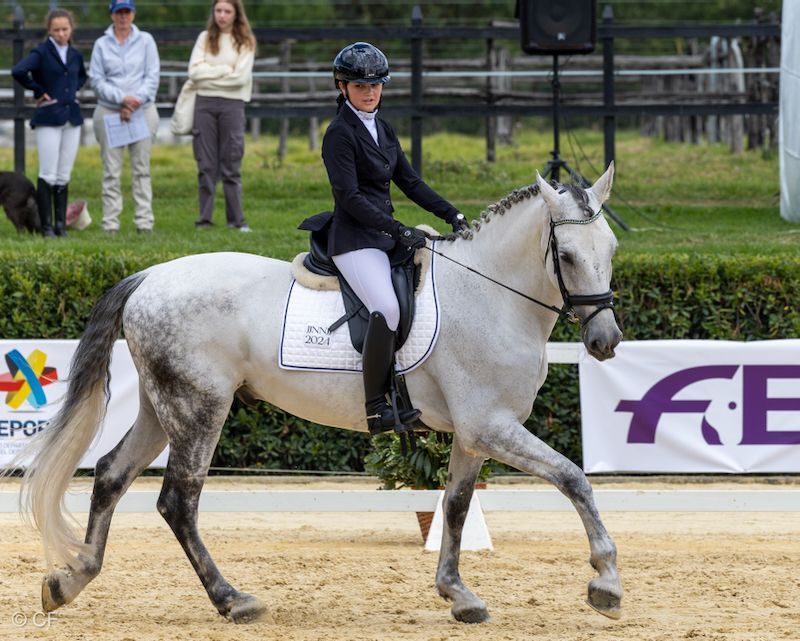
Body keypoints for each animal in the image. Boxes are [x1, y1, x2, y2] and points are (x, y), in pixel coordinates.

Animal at [14, 164, 623, 625]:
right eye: (567, 256)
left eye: (612, 248)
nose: (606, 341)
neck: (490, 294)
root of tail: (148, 276)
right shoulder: (491, 426)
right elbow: (573, 477)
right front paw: (607, 582)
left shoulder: (474, 433)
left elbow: (454, 507)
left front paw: (459, 595)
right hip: (200, 407)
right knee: (178, 500)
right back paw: (232, 600)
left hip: (162, 405)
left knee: (112, 474)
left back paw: (70, 581)